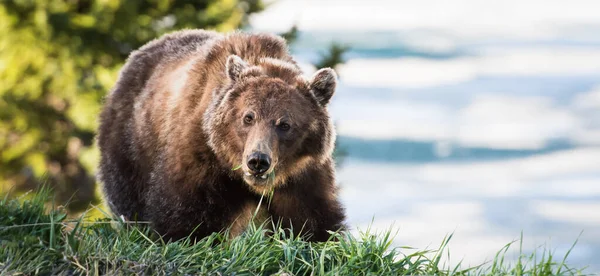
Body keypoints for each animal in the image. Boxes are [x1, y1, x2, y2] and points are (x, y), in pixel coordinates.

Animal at [96, 29, 344, 242]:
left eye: (284, 124)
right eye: (248, 117)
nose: (258, 161)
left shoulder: (303, 176)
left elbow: (313, 222)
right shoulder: (201, 158)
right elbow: (184, 216)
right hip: (131, 144)